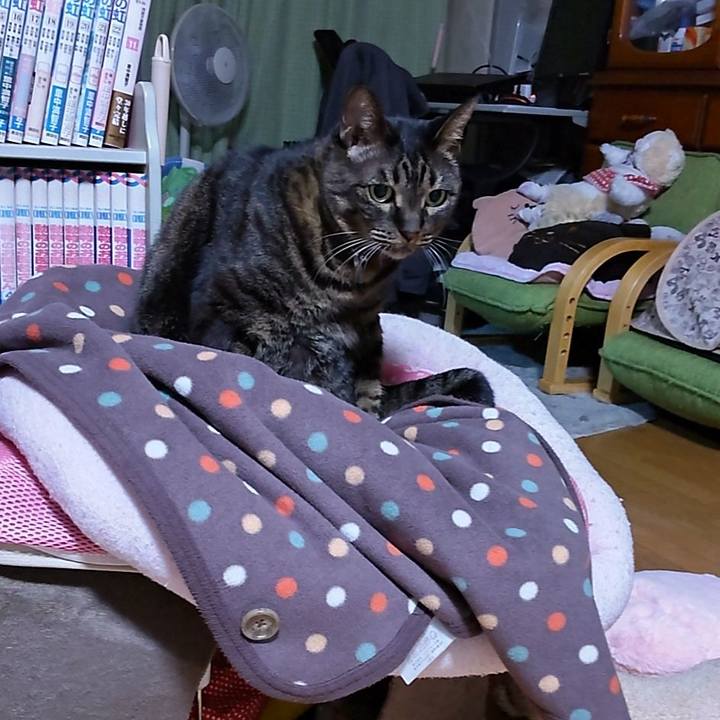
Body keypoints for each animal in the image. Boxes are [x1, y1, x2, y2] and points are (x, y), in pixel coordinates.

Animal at [132, 86, 492, 416]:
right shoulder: (218, 310)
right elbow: (237, 366)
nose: (412, 231)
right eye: (380, 192)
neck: (346, 273)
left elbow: (365, 395)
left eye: (436, 197)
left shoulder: (365, 332)